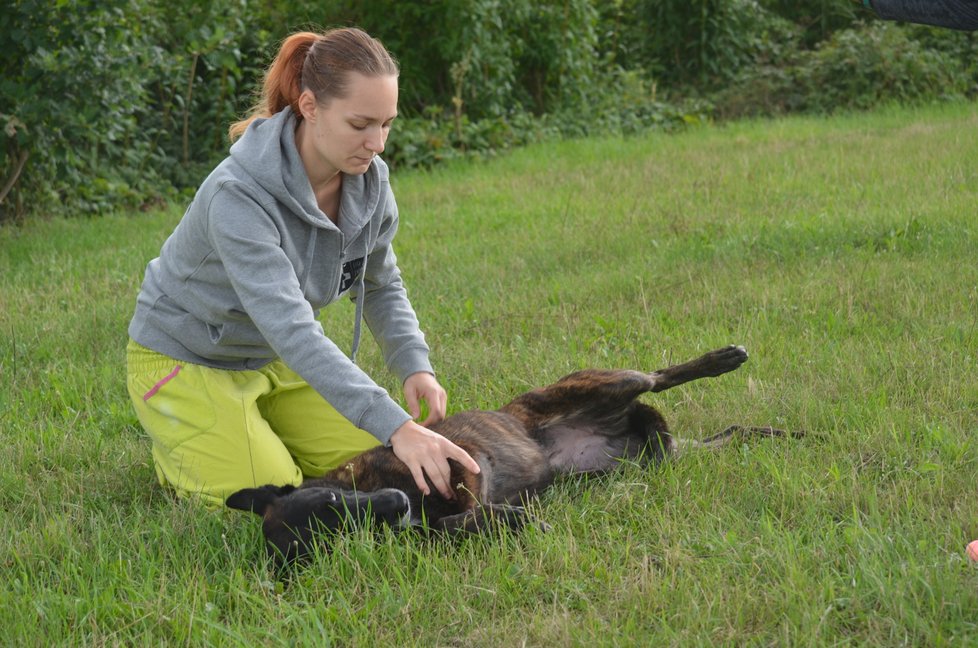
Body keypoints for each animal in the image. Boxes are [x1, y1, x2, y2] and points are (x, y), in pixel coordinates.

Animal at [225, 344, 788, 560]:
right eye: (341, 534)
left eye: (336, 503)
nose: (397, 505)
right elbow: (458, 523)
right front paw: (510, 518)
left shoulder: (458, 461)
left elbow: (464, 501)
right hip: (661, 457)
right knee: (726, 433)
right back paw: (781, 436)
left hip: (607, 385)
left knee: (659, 374)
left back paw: (724, 359)